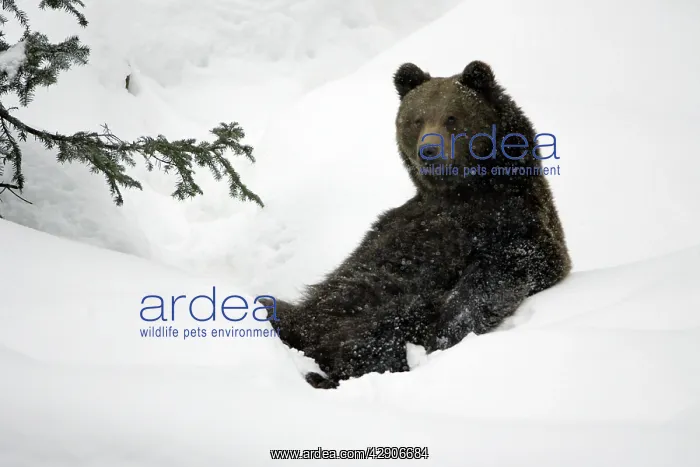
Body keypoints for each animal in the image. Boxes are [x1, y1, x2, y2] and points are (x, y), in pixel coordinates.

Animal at [260, 60, 571, 389]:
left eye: (452, 117)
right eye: (416, 119)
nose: (429, 151)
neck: (464, 192)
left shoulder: (515, 227)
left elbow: (491, 278)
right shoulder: (392, 229)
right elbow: (362, 269)